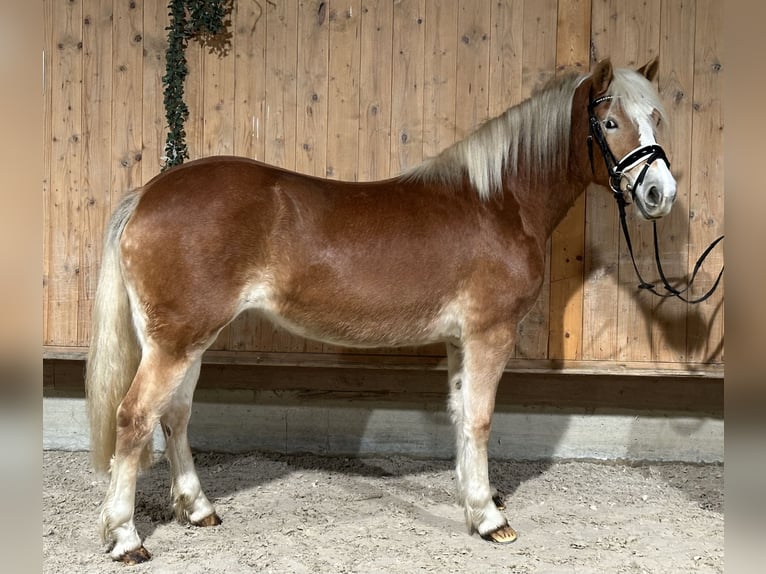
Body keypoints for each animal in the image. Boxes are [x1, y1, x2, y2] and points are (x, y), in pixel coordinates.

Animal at [85, 59, 680, 568]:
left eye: (655, 117)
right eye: (610, 122)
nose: (660, 192)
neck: (499, 202)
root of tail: (147, 194)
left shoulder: (459, 340)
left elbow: (461, 415)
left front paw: (473, 500)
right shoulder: (489, 333)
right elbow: (481, 418)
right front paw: (490, 519)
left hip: (187, 339)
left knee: (175, 415)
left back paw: (198, 509)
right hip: (176, 341)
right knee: (134, 418)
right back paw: (126, 538)